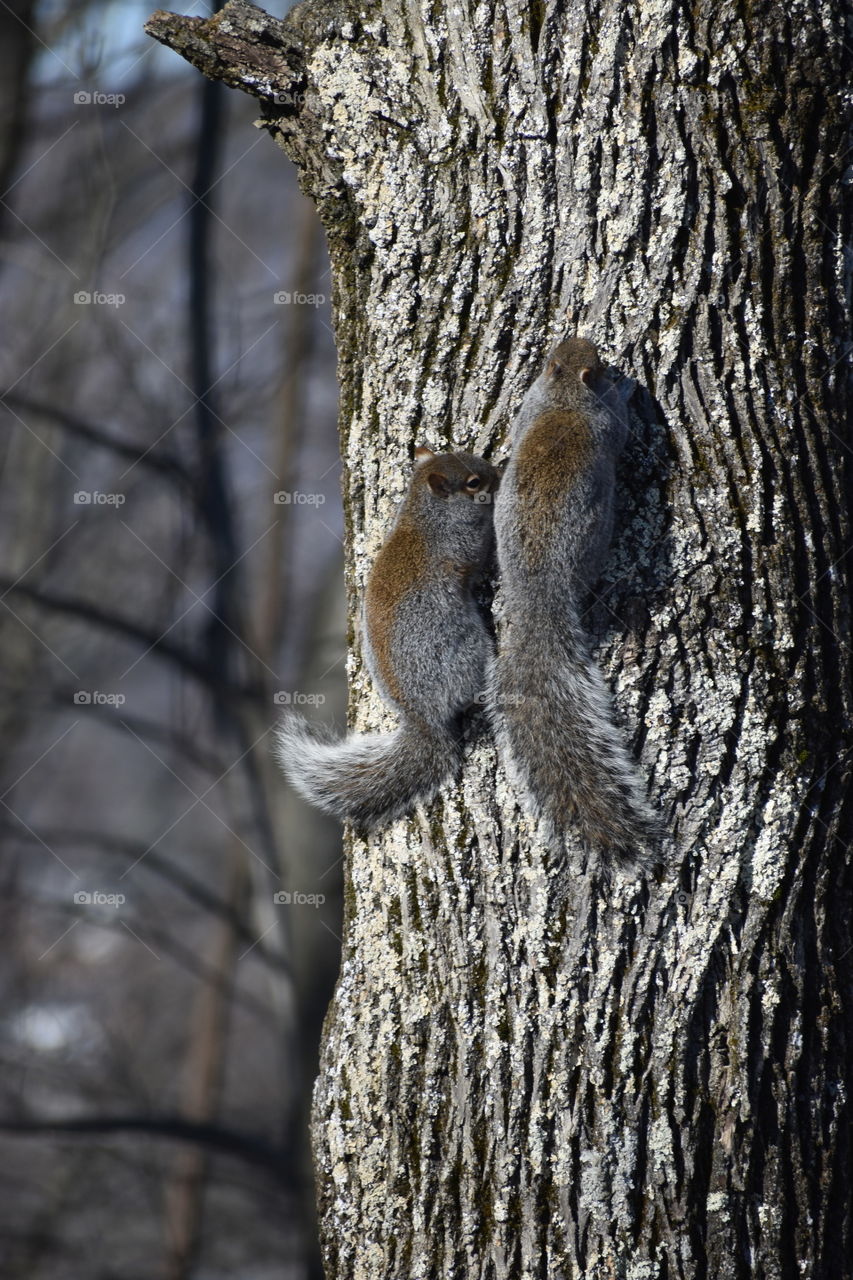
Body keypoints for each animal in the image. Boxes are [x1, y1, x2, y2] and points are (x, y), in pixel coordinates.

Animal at [272, 445, 499, 824]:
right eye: (473, 482)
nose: (496, 473)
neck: (424, 514)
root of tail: (423, 718)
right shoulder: (460, 544)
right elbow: (478, 552)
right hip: (465, 650)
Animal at [484, 335, 655, 870]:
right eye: (595, 365)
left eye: (552, 359)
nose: (606, 360)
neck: (562, 397)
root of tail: (538, 594)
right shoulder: (605, 425)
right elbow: (620, 428)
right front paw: (627, 389)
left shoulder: (529, 405)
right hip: (592, 542)